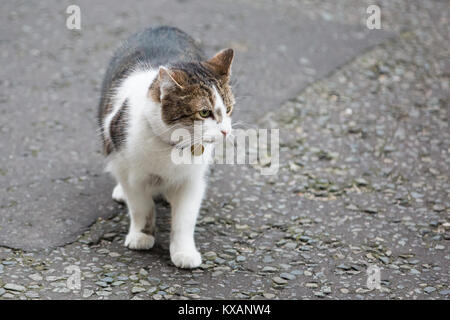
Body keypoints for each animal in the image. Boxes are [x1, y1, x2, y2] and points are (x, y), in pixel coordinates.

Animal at [96, 26, 234, 268]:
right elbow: (141, 206)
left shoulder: (194, 178)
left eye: (228, 109)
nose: (225, 131)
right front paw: (142, 235)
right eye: (204, 112)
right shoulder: (128, 170)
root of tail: (161, 27)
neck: (172, 147)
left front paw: (184, 251)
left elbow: (185, 218)